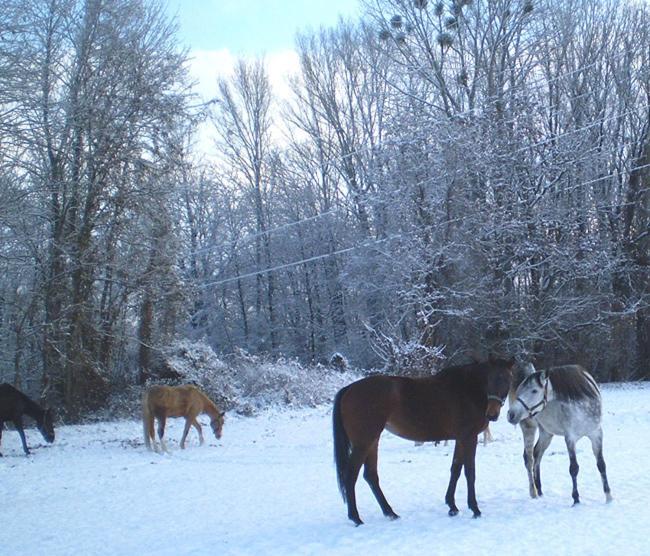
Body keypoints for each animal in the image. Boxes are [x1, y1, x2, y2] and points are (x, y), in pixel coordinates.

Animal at [332, 356, 512, 524]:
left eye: (506, 379)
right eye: (490, 379)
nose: (492, 414)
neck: (468, 389)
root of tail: (349, 389)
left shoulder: (461, 439)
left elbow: (455, 470)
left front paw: (452, 506)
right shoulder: (469, 438)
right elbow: (470, 472)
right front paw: (474, 509)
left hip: (372, 441)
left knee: (370, 475)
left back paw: (390, 513)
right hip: (363, 443)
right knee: (351, 475)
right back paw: (356, 518)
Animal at [508, 362, 612, 506]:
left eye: (534, 390)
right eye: (520, 391)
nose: (511, 414)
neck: (582, 403)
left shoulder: (596, 434)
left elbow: (601, 464)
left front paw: (609, 497)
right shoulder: (570, 438)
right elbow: (574, 468)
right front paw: (576, 499)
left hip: (546, 434)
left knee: (537, 454)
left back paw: (540, 490)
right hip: (529, 428)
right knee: (529, 458)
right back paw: (533, 492)